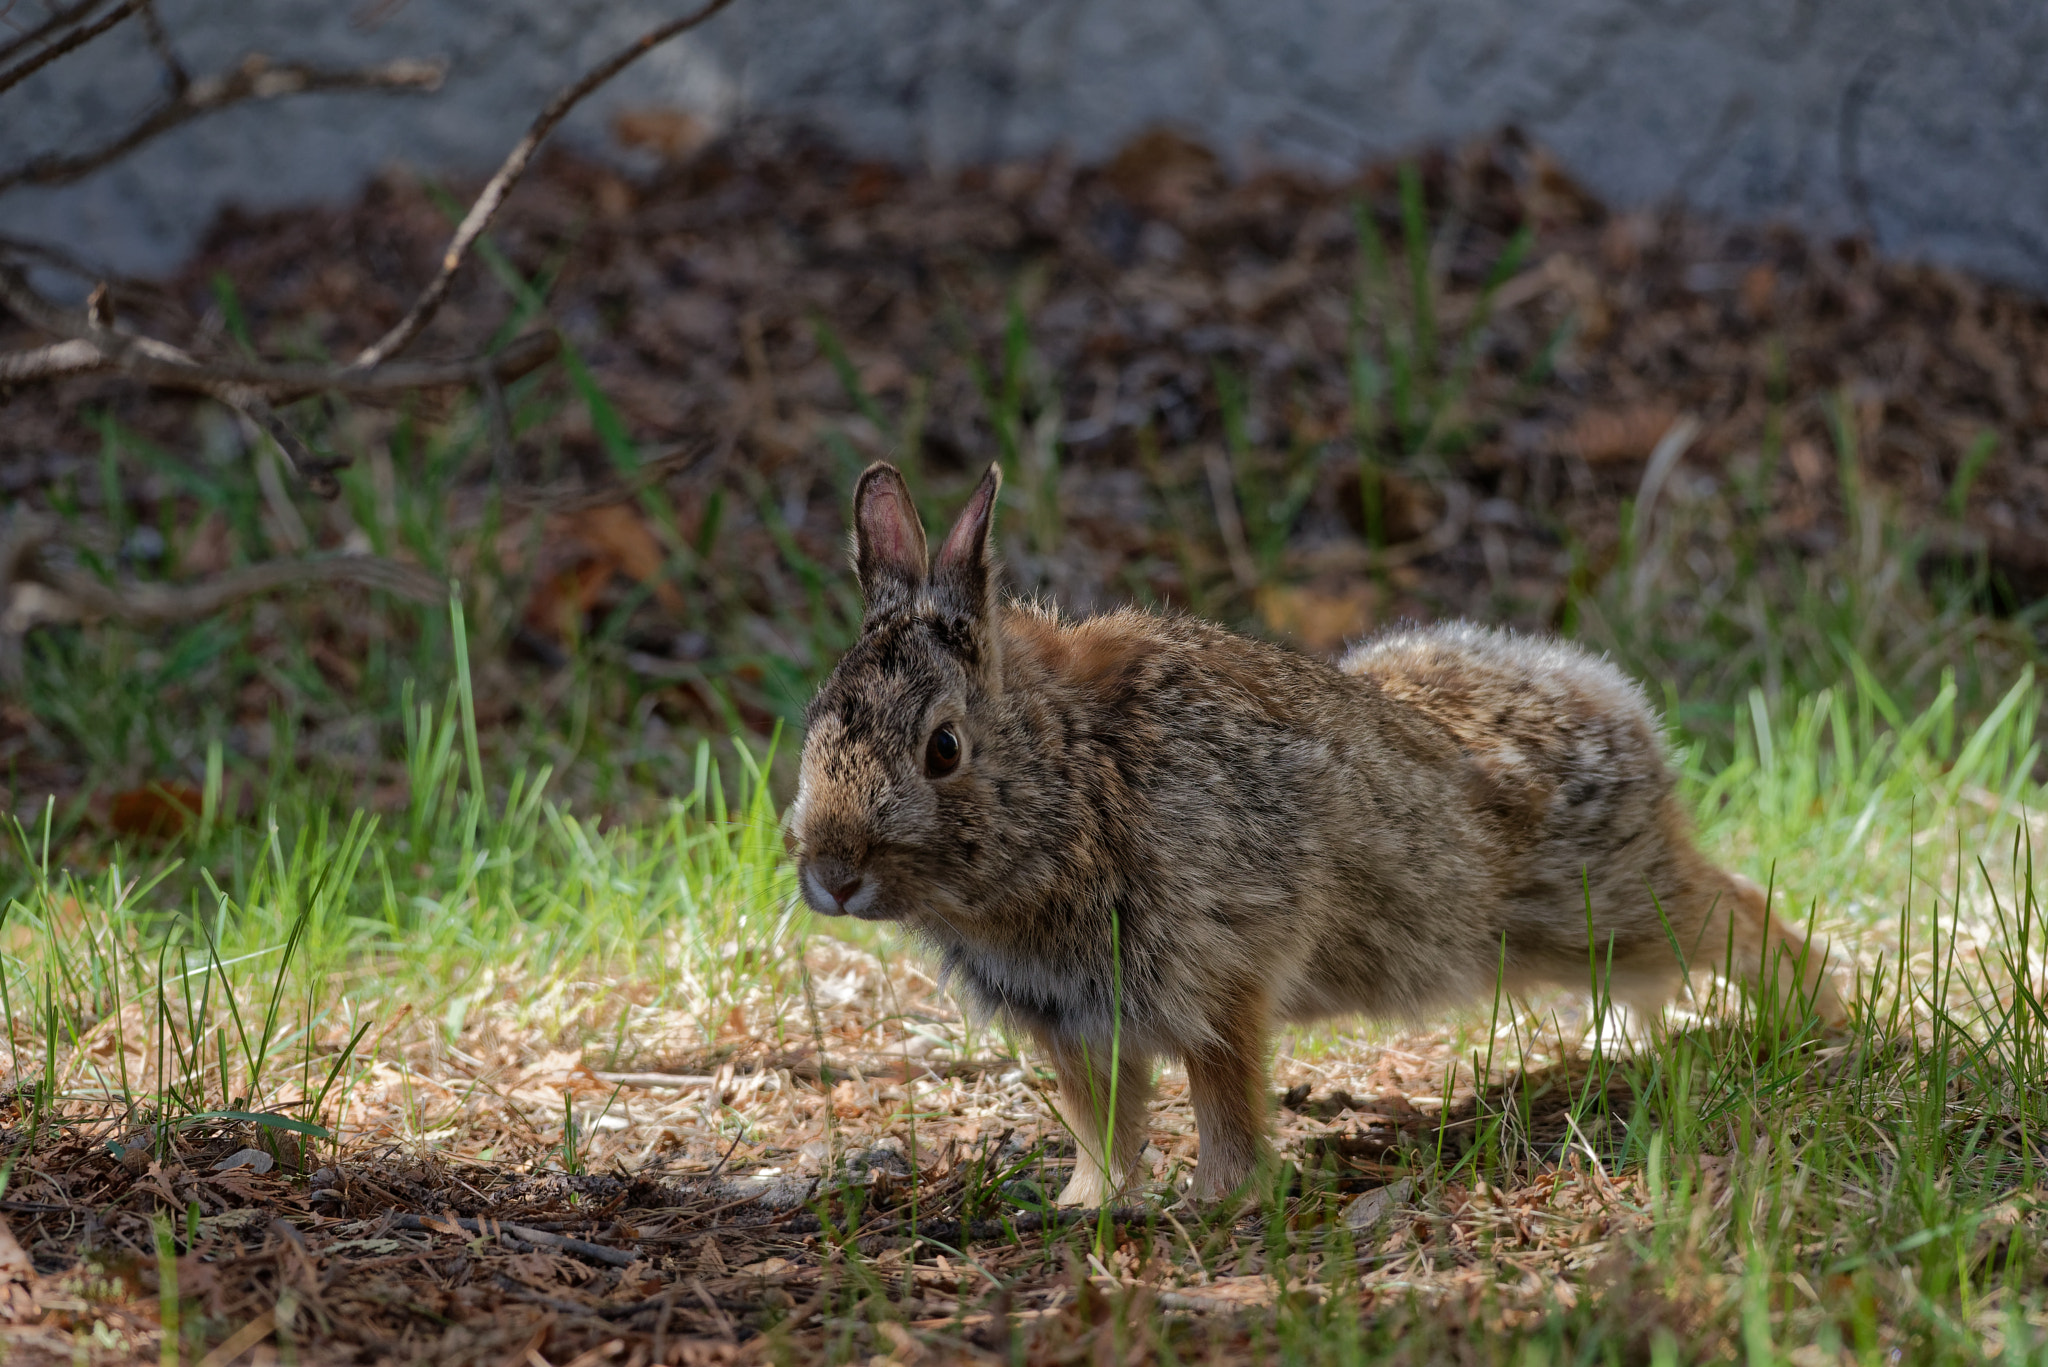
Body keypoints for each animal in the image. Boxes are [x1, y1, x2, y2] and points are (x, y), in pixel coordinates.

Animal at [790, 463, 1851, 1205]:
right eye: (814, 721)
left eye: (943, 748)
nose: (832, 875)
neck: (1073, 776)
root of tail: (1619, 709)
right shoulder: (1078, 1023)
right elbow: (1103, 1120)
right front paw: (1086, 1205)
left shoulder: (1217, 975)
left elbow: (1222, 1093)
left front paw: (1222, 1198)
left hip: (1602, 898)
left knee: (1731, 913)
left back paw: (1818, 1013)